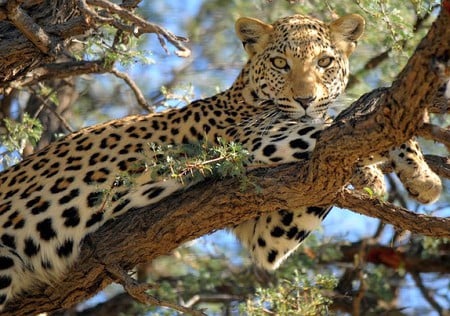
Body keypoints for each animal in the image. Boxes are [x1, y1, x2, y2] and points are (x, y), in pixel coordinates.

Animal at [0, 13, 442, 310]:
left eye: (325, 62)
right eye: (280, 63)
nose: (305, 98)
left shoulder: (268, 233)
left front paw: (416, 176)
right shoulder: (254, 141)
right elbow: (331, 129)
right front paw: (387, 171)